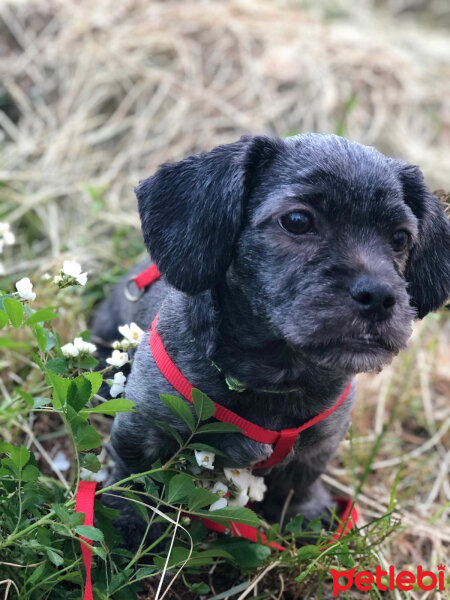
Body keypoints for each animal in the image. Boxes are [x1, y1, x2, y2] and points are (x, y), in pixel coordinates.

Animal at [92, 134, 450, 540]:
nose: (379, 296)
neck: (278, 377)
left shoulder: (319, 444)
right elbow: (135, 474)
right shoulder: (145, 423)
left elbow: (296, 485)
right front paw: (129, 521)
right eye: (297, 221)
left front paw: (305, 516)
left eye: (401, 237)